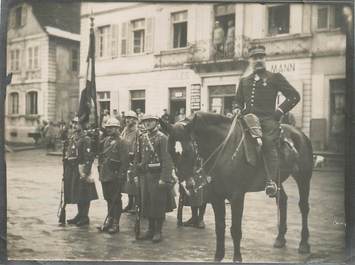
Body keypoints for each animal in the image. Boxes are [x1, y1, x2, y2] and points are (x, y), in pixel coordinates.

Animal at [161, 110, 314, 260]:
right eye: (170, 151)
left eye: (189, 150)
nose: (186, 185)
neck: (224, 149)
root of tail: (298, 132)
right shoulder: (216, 197)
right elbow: (220, 227)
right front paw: (218, 256)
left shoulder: (237, 197)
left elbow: (235, 229)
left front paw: (237, 258)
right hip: (278, 181)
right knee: (282, 200)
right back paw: (280, 239)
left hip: (303, 177)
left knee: (304, 207)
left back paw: (304, 244)